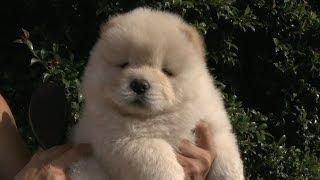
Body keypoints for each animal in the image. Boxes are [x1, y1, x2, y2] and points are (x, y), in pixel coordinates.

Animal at [70, 7, 244, 180]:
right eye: (124, 64)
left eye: (166, 71)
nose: (139, 85)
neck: (158, 117)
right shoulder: (122, 139)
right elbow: (158, 157)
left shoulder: (212, 124)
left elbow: (226, 154)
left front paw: (232, 175)